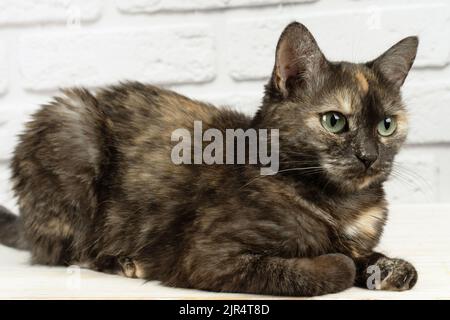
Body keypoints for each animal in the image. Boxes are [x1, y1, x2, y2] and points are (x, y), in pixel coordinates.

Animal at [0, 22, 418, 296]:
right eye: (334, 121)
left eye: (386, 125)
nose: (369, 156)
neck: (343, 204)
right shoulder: (208, 256)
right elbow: (333, 266)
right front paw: (344, 264)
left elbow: (368, 255)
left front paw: (391, 267)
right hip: (73, 123)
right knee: (69, 251)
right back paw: (125, 262)